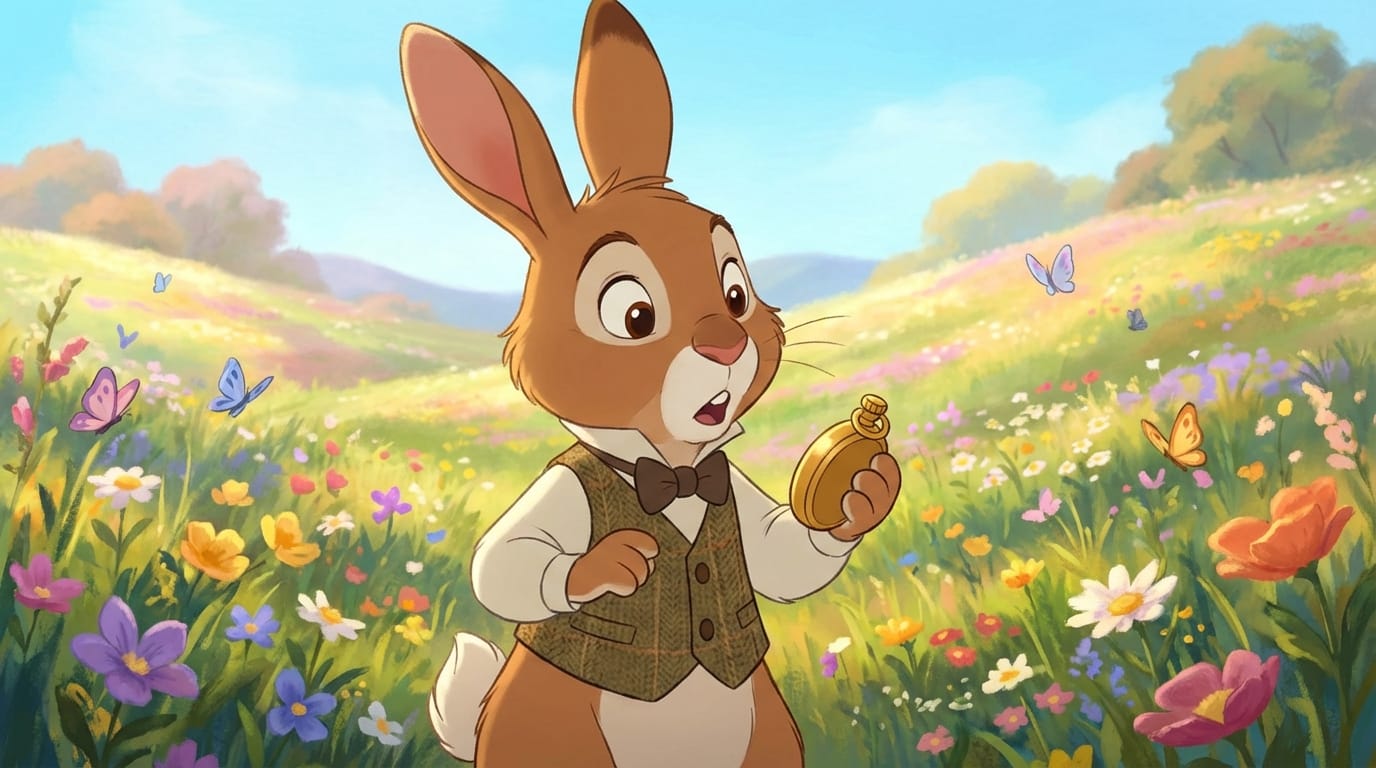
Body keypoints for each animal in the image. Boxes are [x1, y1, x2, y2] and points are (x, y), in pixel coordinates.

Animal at [400, 2, 903, 766]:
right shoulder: (561, 485)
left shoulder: (734, 489)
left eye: (735, 290)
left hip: (768, 735)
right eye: (634, 316)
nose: (725, 341)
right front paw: (606, 565)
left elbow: (787, 559)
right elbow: (503, 561)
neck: (672, 467)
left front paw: (867, 493)